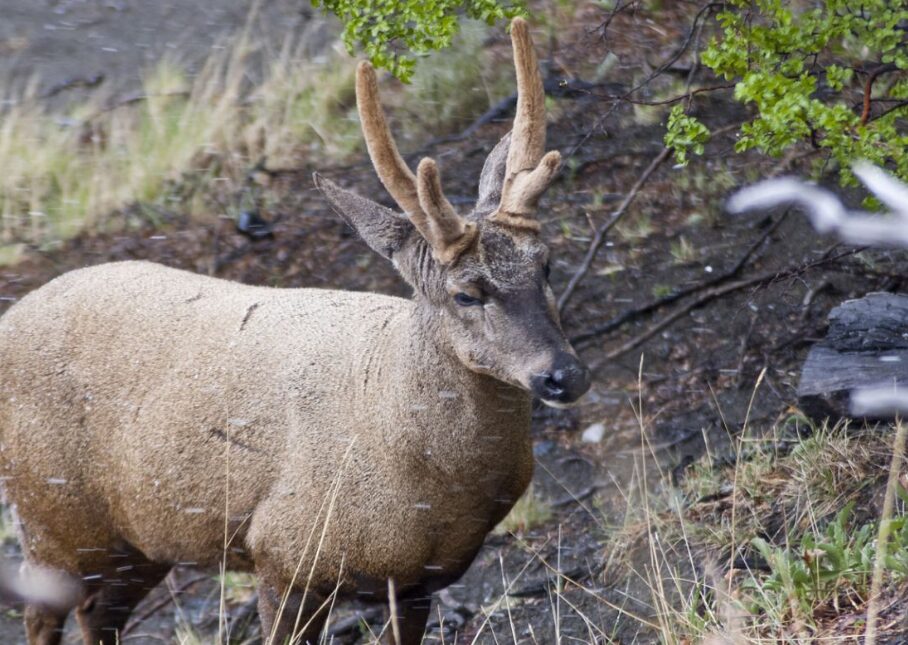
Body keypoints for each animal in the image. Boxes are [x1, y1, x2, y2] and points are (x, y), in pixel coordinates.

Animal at [0, 16, 588, 644]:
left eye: (547, 264)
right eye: (465, 294)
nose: (564, 375)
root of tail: (12, 315)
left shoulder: (417, 580)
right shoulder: (285, 553)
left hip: (139, 536)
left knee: (98, 612)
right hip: (51, 513)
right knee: (43, 612)